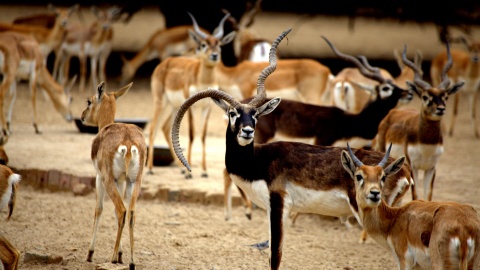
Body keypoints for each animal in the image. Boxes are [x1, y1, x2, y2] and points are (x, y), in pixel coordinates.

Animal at [80, 81, 146, 270]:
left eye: (89, 101)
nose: (82, 116)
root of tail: (128, 143)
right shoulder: (122, 181)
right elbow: (116, 214)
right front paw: (122, 255)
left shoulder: (99, 178)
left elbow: (99, 209)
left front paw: (90, 253)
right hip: (134, 181)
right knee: (130, 213)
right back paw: (131, 261)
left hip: (109, 181)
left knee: (122, 209)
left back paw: (111, 258)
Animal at [146, 11, 236, 178]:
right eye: (203, 44)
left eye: (219, 44)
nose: (214, 55)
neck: (202, 79)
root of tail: (165, 62)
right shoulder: (192, 107)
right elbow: (192, 133)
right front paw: (190, 174)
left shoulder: (207, 107)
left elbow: (203, 135)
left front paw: (204, 171)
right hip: (160, 101)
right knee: (153, 128)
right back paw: (150, 169)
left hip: (174, 106)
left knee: (166, 128)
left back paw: (181, 167)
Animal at [170, 28, 412, 270]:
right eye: (233, 113)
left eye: (255, 115)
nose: (247, 131)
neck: (257, 161)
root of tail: (403, 169)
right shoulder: (278, 211)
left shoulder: (278, 204)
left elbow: (275, 256)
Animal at [342, 142, 480, 268]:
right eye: (359, 176)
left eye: (383, 177)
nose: (374, 193)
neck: (395, 218)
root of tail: (464, 230)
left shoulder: (405, 261)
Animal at [376, 43, 464, 201]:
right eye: (425, 96)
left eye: (445, 96)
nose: (440, 109)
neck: (426, 144)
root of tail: (393, 113)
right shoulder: (413, 166)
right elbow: (416, 195)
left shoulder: (432, 168)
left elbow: (428, 195)